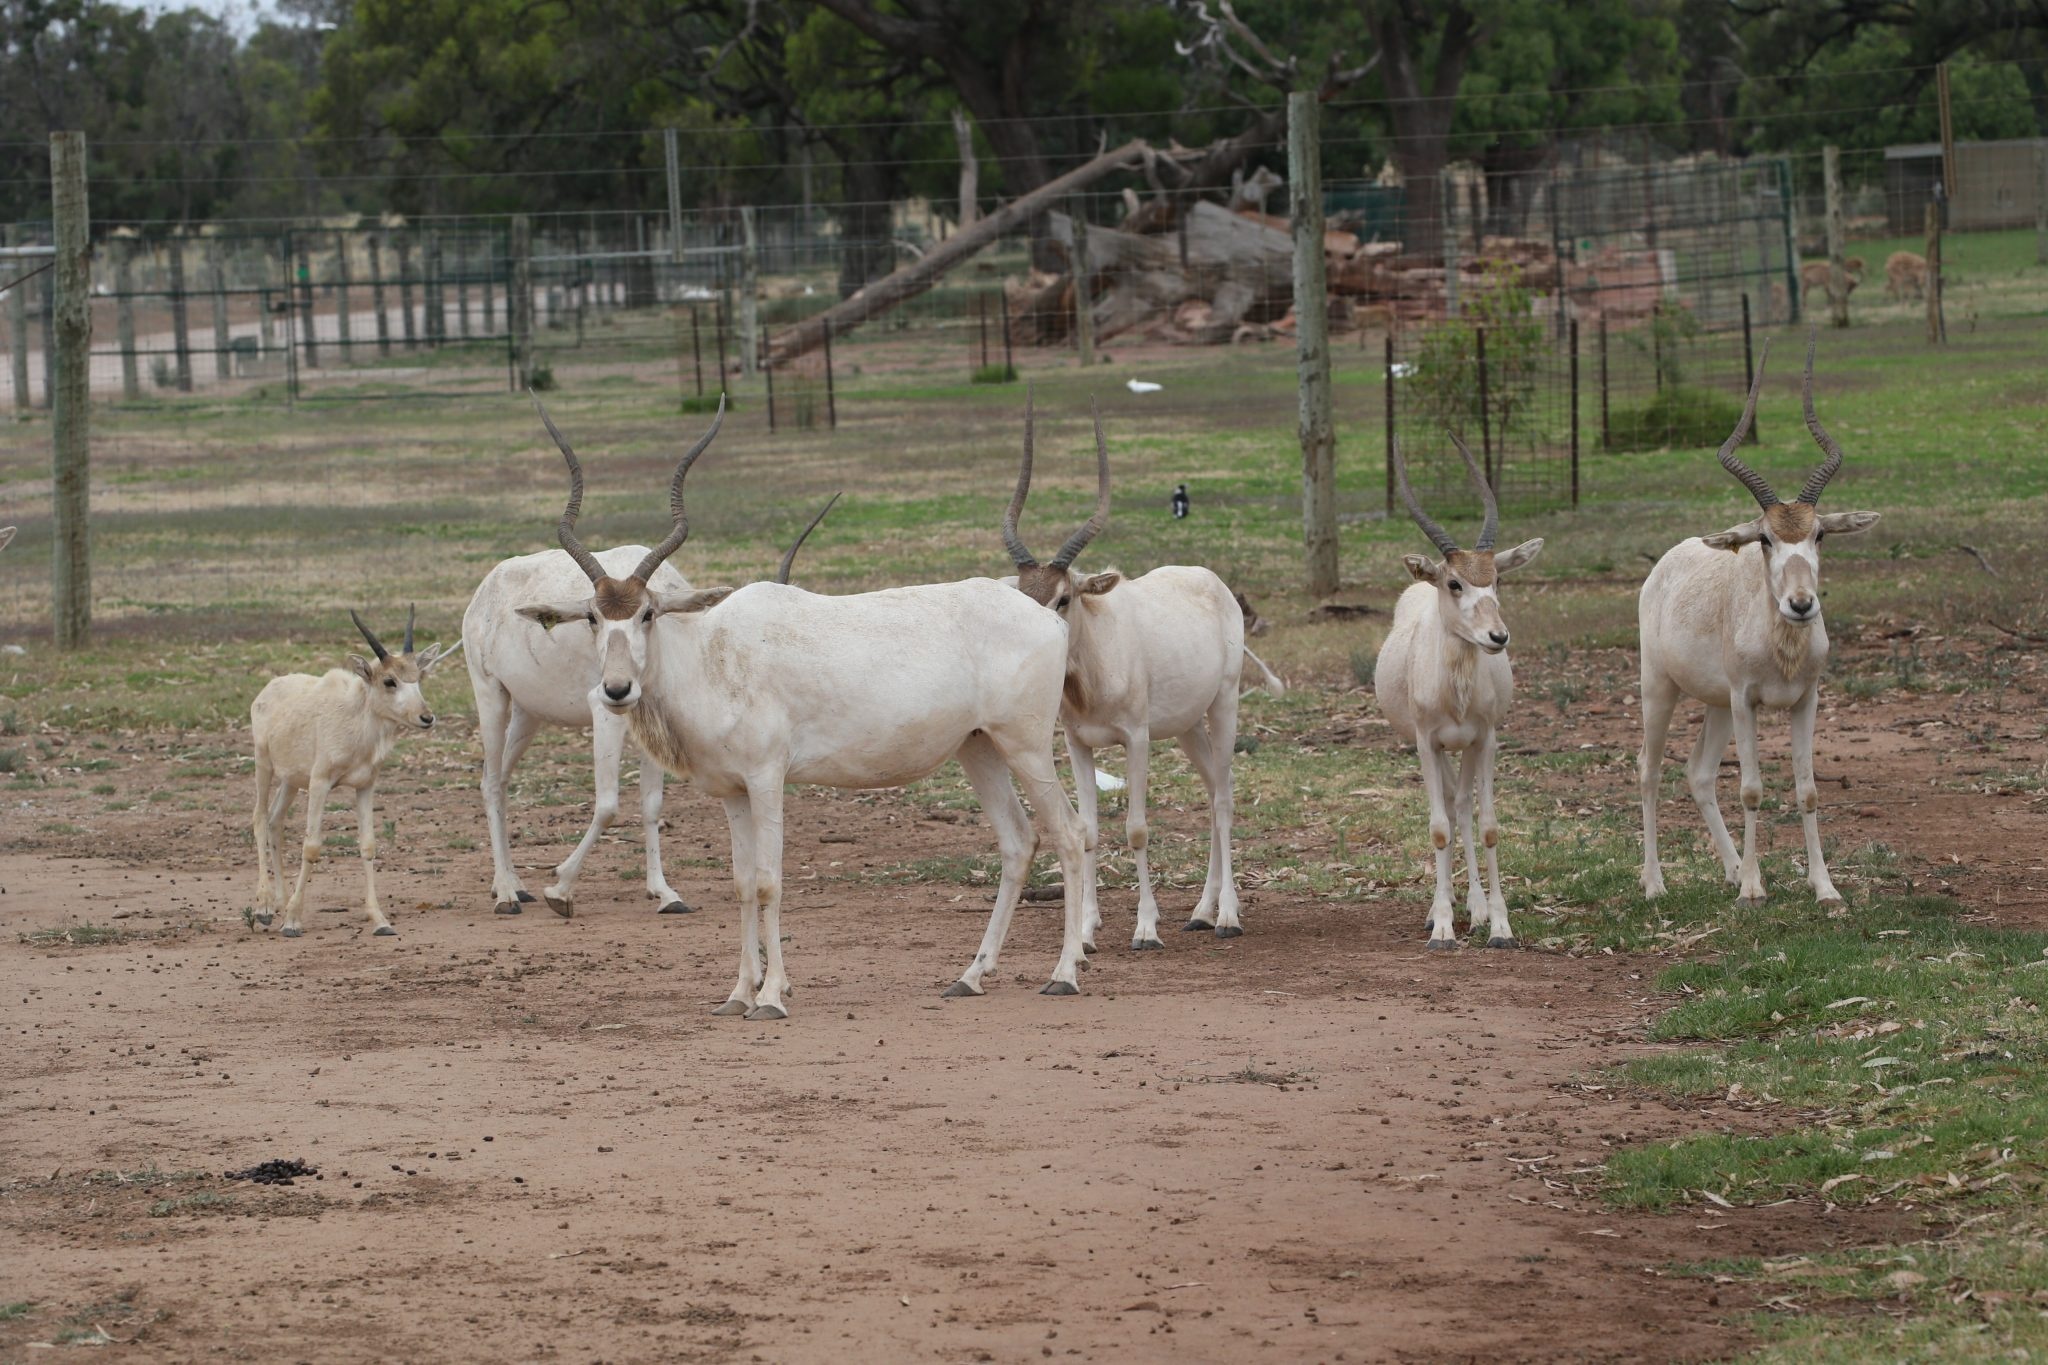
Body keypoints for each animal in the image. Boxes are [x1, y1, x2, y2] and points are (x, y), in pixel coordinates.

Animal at [249, 609, 458, 941]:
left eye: (419, 677)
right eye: (389, 680)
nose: (426, 717)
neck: (355, 719)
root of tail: (268, 689)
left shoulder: (365, 786)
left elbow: (368, 845)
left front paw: (380, 920)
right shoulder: (320, 783)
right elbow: (311, 846)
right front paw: (293, 921)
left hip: (291, 781)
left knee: (274, 821)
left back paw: (279, 902)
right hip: (264, 764)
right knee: (259, 819)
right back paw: (265, 907)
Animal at [468, 401, 835, 925]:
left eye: (649, 613)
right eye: (592, 616)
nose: (619, 687)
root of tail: (487, 586)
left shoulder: (650, 716)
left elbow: (651, 802)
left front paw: (665, 892)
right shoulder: (605, 712)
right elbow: (607, 804)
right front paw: (560, 889)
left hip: (528, 712)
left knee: (496, 776)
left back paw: (515, 884)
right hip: (490, 696)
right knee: (490, 783)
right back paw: (504, 894)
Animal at [520, 394, 1097, 1015]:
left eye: (648, 613)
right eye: (593, 616)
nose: (617, 690)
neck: (712, 657)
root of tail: (1045, 618)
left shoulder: (767, 779)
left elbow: (770, 880)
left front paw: (772, 996)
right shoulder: (733, 793)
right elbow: (742, 884)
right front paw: (738, 994)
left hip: (1026, 744)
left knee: (1069, 832)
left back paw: (1065, 972)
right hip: (979, 748)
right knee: (1018, 841)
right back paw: (969, 976)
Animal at [1368, 431, 1540, 945]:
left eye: (1496, 578)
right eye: (1455, 582)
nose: (1497, 637)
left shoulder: (1485, 739)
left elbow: (1488, 826)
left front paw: (1499, 924)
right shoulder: (1427, 742)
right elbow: (1439, 828)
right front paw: (1442, 925)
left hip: (1464, 748)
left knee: (1462, 804)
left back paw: (1477, 907)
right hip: (1437, 747)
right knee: (1447, 805)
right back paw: (1439, 909)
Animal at [1638, 335, 1875, 900]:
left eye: (1819, 534)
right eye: (1765, 538)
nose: (1801, 604)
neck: (1781, 646)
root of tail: (1665, 564)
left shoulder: (1804, 700)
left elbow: (1807, 790)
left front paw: (1825, 889)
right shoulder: (1747, 701)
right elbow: (1750, 788)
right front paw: (1753, 890)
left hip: (1717, 704)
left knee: (1698, 772)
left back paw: (1727, 869)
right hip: (1661, 689)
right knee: (1649, 771)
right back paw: (1656, 883)